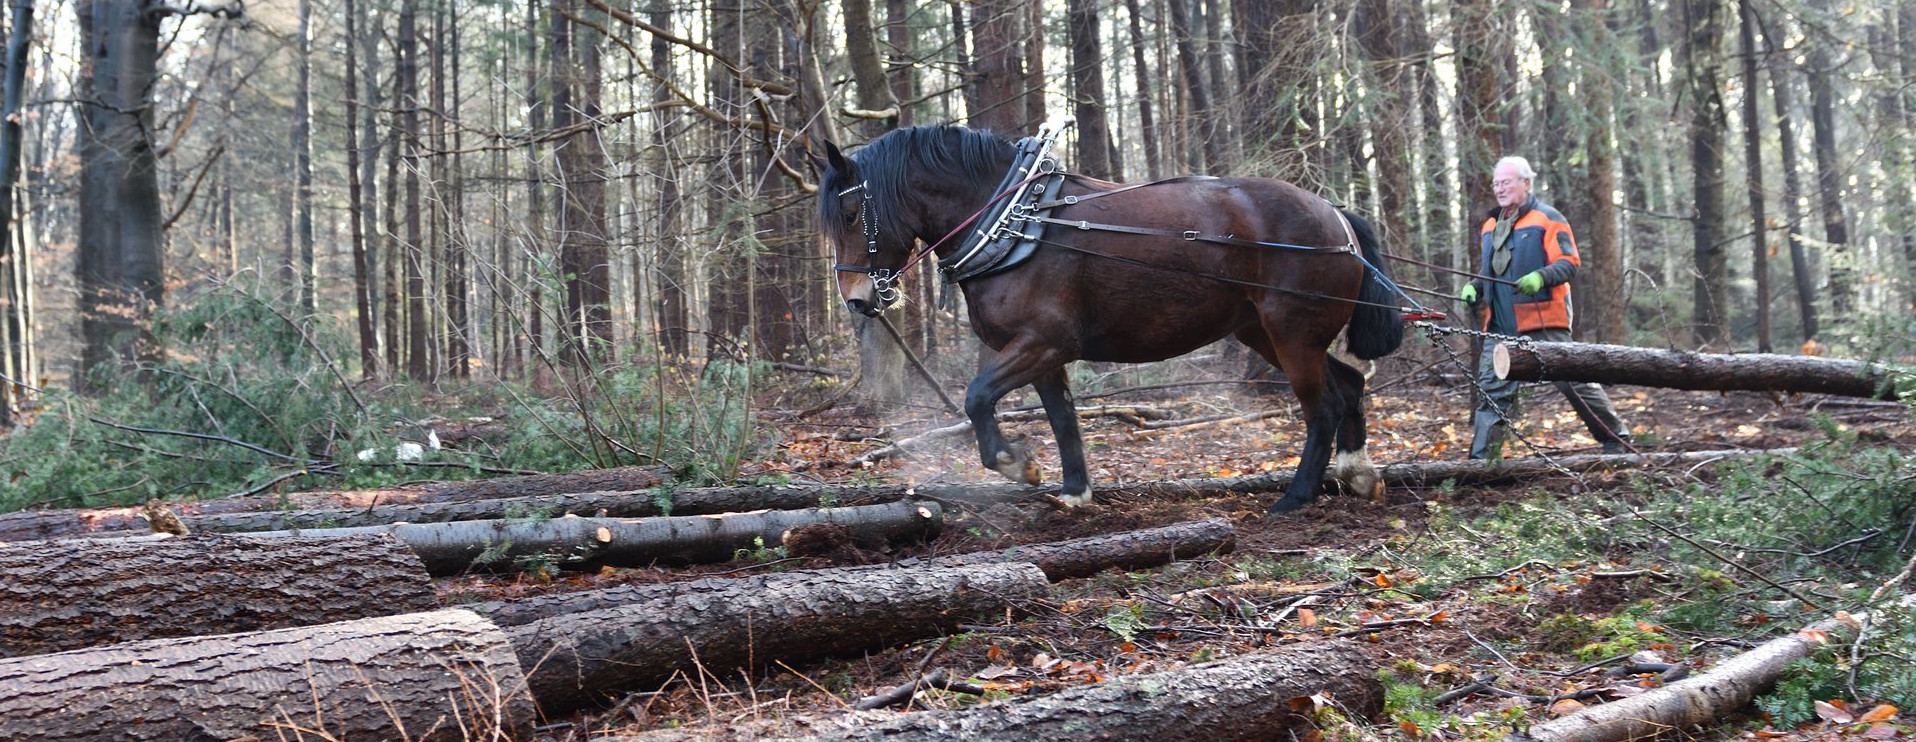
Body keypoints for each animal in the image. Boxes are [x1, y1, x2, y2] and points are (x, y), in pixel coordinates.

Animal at [816, 124, 1404, 516]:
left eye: (850, 213)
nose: (856, 301)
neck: (1014, 222)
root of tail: (1336, 217)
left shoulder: (1045, 341)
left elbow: (977, 397)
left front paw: (1014, 462)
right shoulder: (1042, 354)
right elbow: (1062, 419)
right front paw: (1074, 491)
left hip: (1292, 334)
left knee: (1322, 406)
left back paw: (1296, 496)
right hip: (1265, 332)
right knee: (1349, 384)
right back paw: (1357, 472)